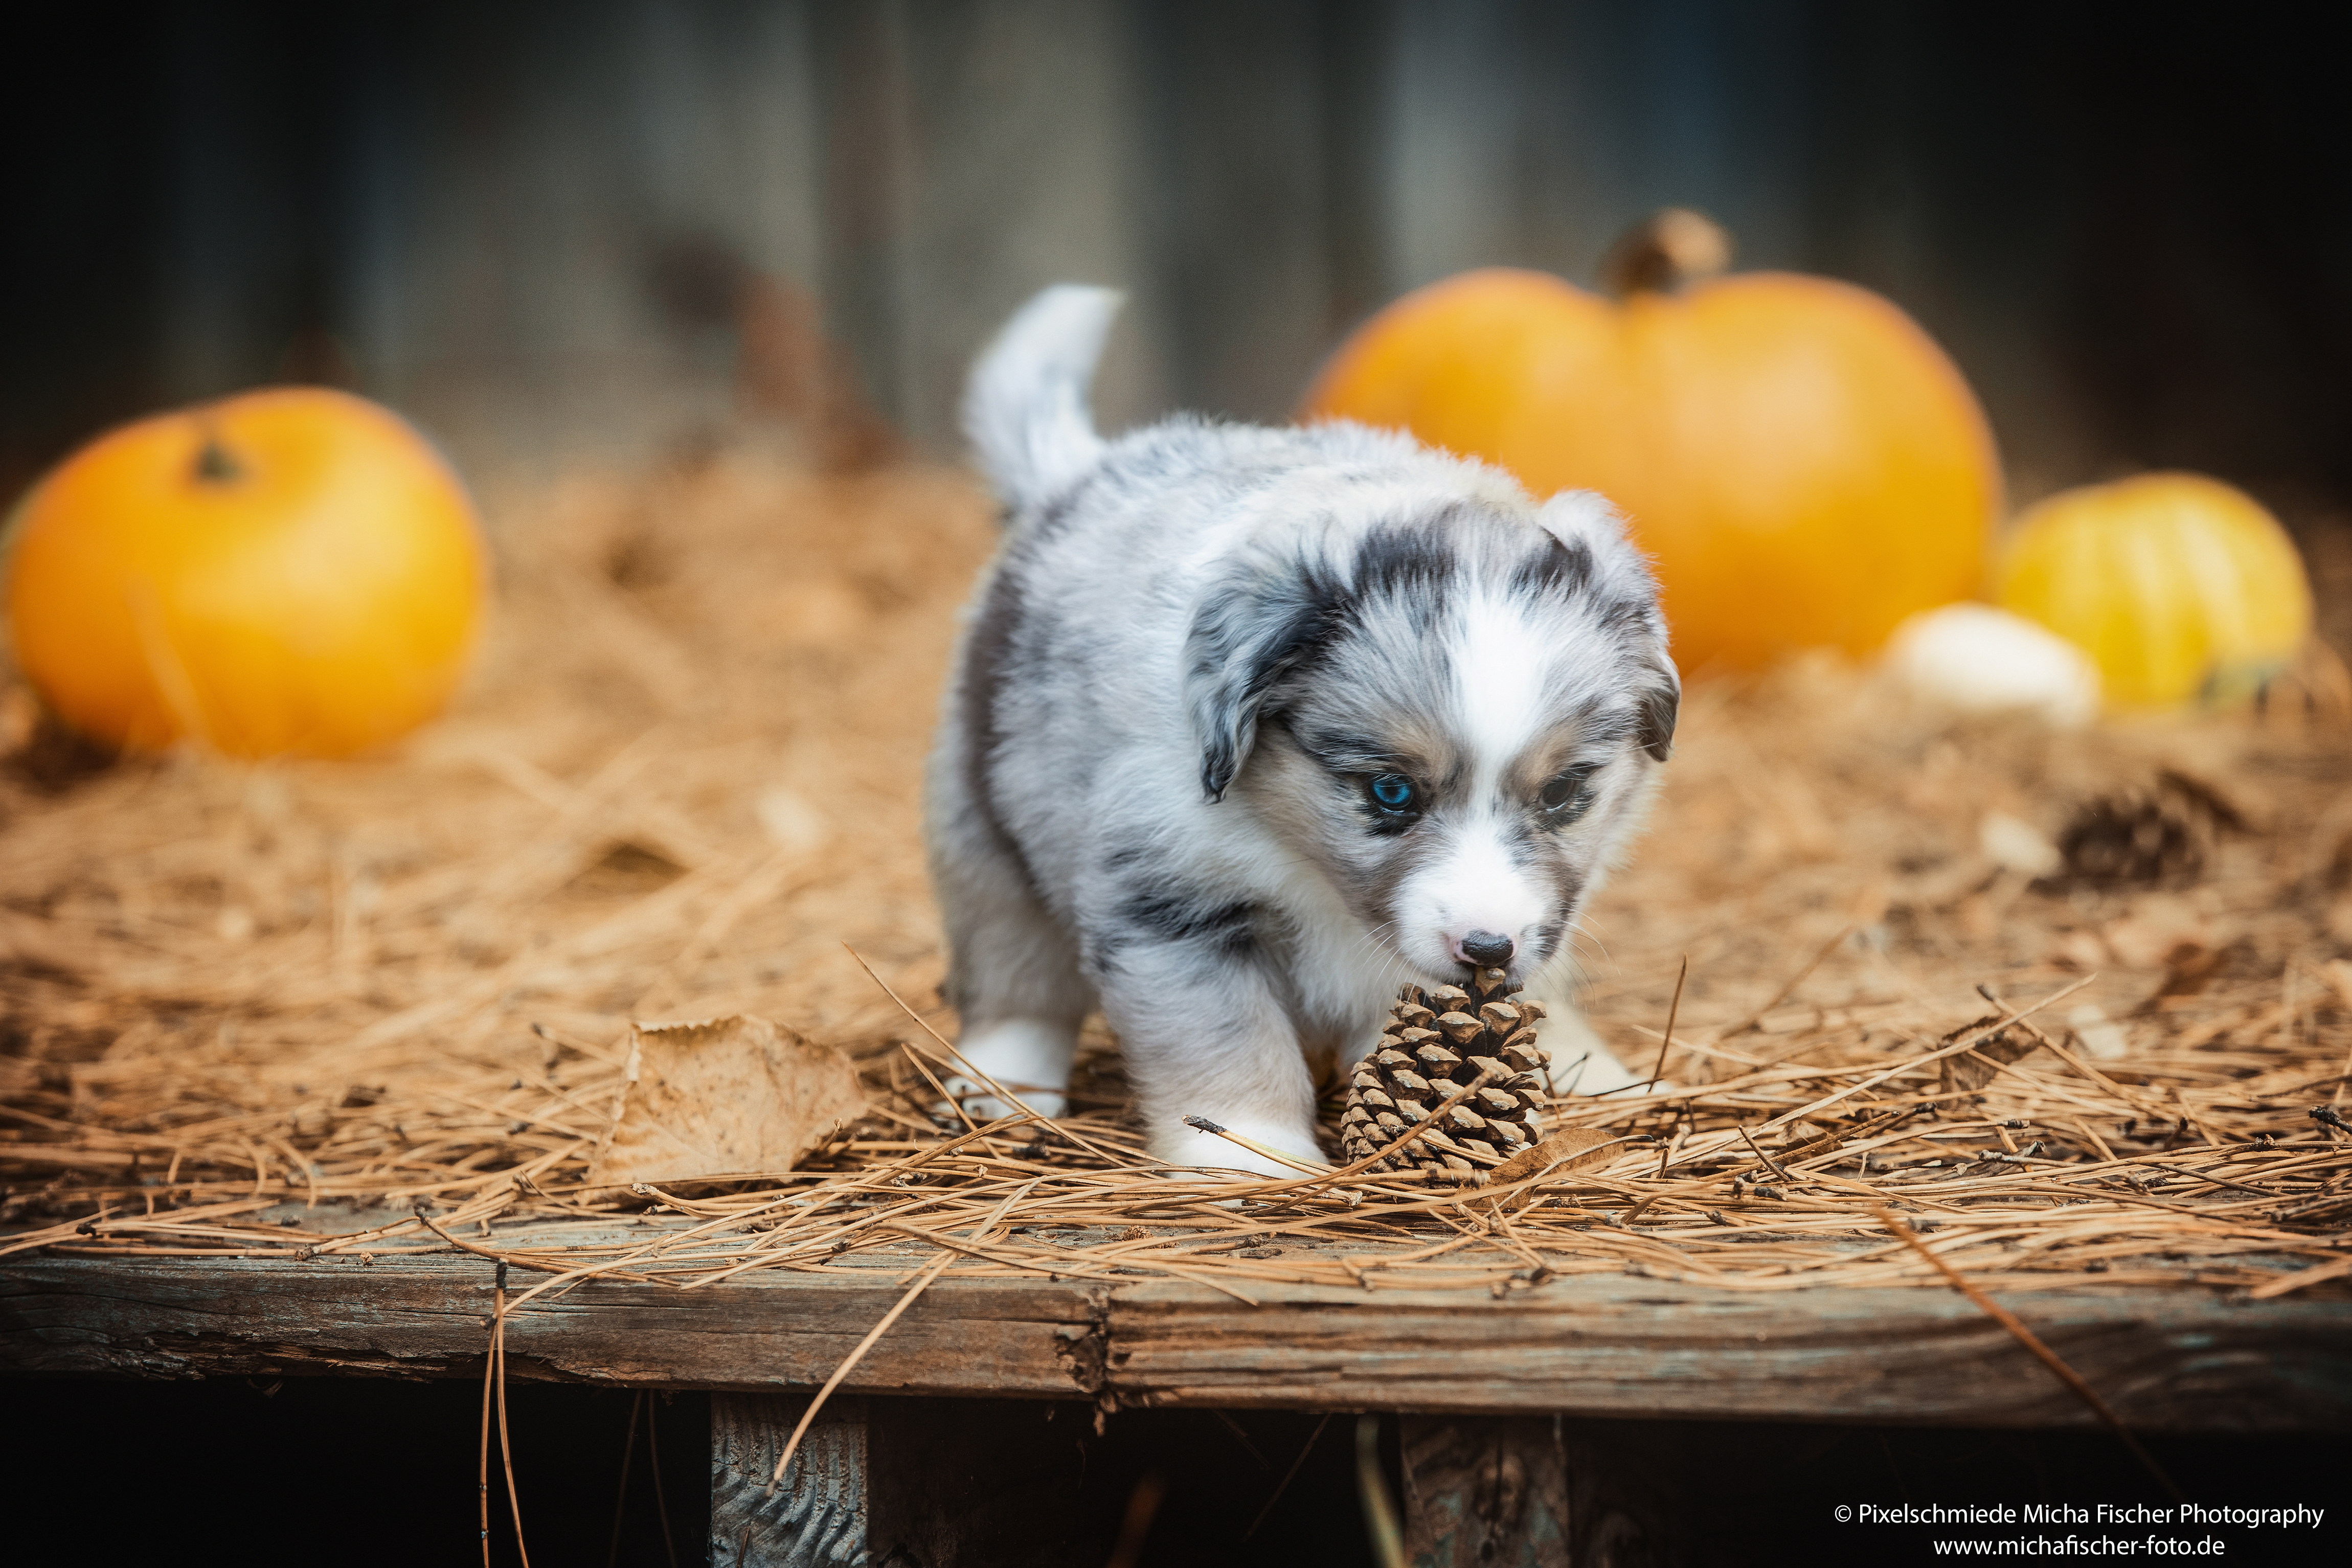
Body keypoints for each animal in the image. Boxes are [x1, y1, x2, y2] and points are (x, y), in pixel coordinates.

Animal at [917, 288, 1675, 1170]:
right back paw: (999, 1091)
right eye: (1391, 791)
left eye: (1561, 794)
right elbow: (1227, 1037)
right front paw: (1251, 1154)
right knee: (1016, 975)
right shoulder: (1167, 905)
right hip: (984, 826)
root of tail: (1078, 473)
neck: (1307, 861)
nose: (1487, 950)